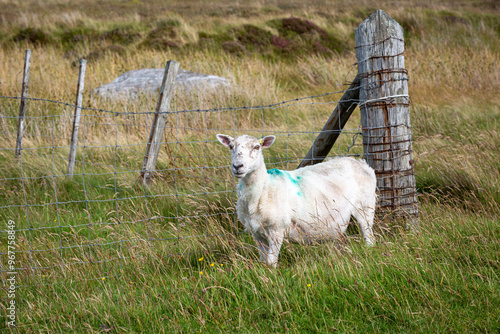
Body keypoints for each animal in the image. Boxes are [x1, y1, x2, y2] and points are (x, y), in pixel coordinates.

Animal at [215, 134, 376, 268]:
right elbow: (263, 261)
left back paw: (369, 249)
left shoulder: (277, 229)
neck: (264, 190)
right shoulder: (257, 233)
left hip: (365, 206)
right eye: (231, 146)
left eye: (257, 147)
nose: (237, 166)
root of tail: (361, 163)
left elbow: (271, 262)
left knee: (369, 235)